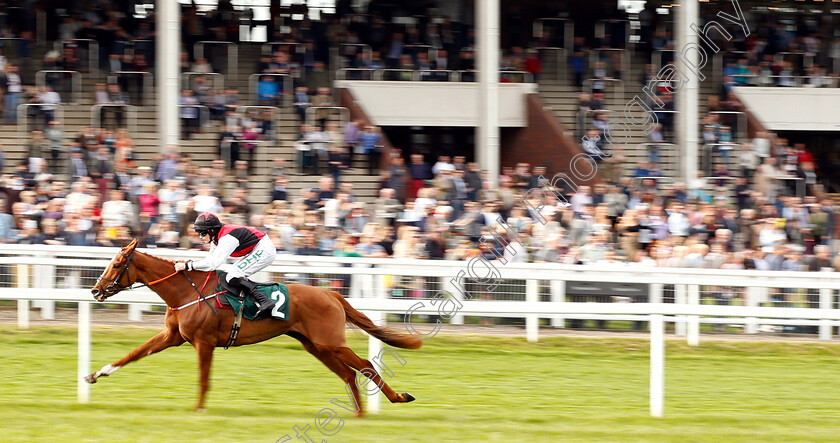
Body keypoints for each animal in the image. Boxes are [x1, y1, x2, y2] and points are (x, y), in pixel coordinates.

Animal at [85, 241, 420, 414]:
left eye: (117, 265)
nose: (96, 290)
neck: (185, 292)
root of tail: (330, 293)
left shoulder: (203, 342)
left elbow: (203, 379)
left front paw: (198, 411)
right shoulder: (173, 336)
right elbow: (132, 354)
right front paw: (94, 374)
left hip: (330, 342)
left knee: (365, 366)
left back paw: (398, 398)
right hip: (315, 345)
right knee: (349, 374)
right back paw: (360, 413)